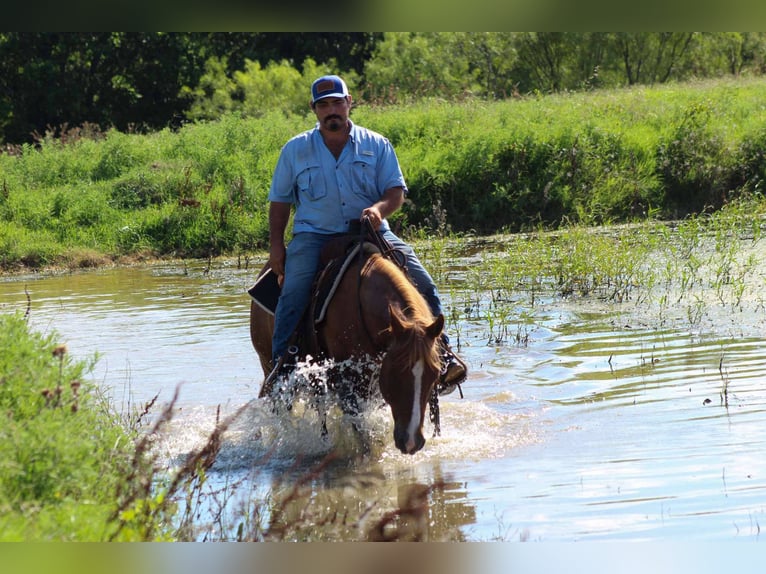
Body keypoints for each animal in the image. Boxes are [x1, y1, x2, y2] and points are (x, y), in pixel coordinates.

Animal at [249, 243, 444, 455]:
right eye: (396, 371)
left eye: (434, 374)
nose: (411, 442)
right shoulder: (349, 383)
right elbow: (361, 431)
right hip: (269, 365)